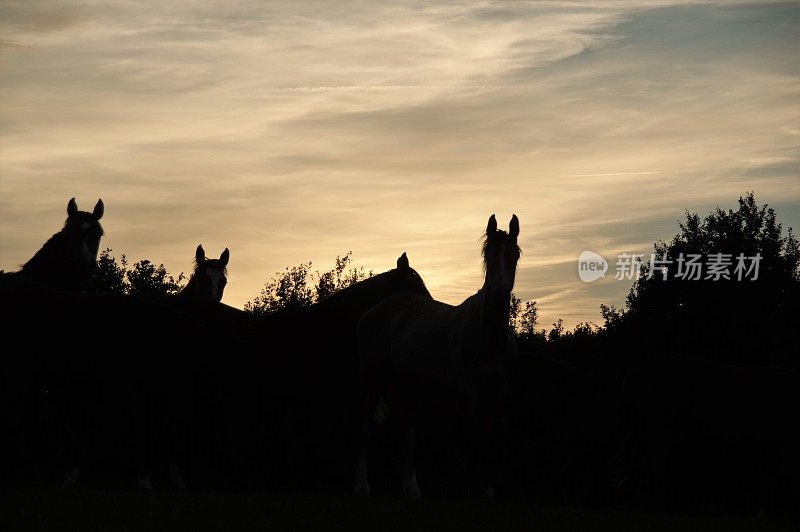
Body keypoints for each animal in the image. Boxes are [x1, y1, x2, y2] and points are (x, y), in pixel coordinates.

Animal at [354, 214, 520, 496]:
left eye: (514, 254)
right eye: (488, 253)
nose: (499, 294)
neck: (486, 336)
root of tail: (374, 312)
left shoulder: (498, 394)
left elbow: (488, 443)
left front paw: (487, 492)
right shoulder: (468, 395)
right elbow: (472, 443)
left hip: (407, 387)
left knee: (406, 432)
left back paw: (411, 489)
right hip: (373, 381)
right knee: (365, 429)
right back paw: (363, 487)